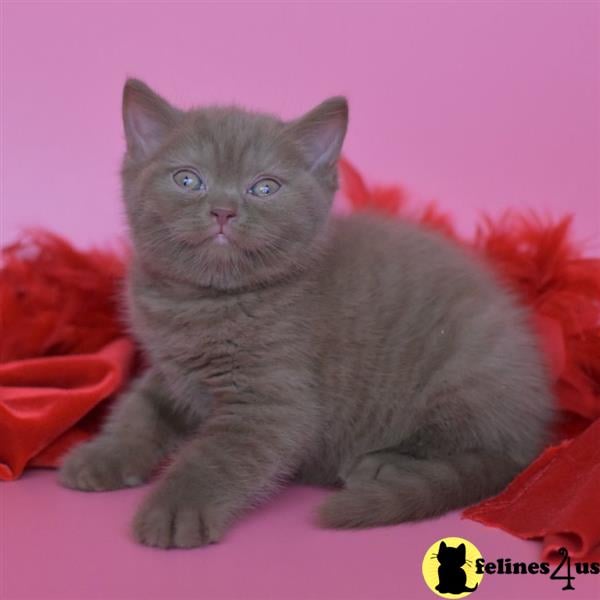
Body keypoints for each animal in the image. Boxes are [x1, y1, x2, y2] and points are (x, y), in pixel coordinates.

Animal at [58, 78, 556, 548]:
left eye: (264, 187)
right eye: (187, 180)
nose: (223, 210)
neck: (201, 302)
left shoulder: (271, 403)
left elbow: (214, 457)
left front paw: (176, 510)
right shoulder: (170, 372)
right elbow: (138, 411)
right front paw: (102, 456)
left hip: (467, 368)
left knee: (483, 451)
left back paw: (384, 465)